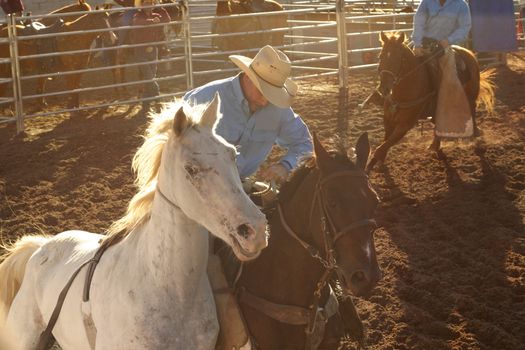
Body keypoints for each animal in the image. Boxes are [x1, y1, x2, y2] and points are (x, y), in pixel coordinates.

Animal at [364, 32, 496, 172]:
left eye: (399, 58)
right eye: (380, 56)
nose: (384, 88)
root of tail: (469, 53)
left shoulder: (405, 125)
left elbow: (380, 149)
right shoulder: (388, 121)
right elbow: (382, 146)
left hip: (470, 97)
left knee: (472, 112)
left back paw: (476, 138)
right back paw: (436, 146)